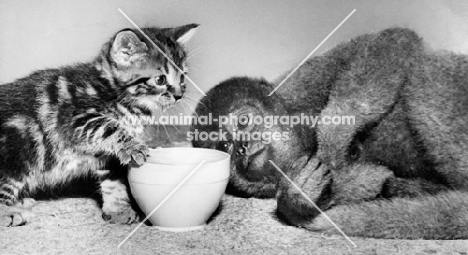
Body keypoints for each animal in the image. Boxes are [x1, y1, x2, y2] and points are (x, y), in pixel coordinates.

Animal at [0, 23, 197, 226]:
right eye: (160, 79)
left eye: (183, 77)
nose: (179, 95)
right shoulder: (75, 117)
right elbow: (109, 128)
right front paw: (134, 146)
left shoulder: (108, 155)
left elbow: (114, 179)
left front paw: (118, 210)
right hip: (19, 150)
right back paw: (10, 212)